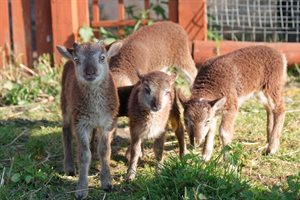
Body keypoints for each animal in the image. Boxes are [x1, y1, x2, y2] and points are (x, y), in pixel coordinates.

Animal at [56, 41, 122, 200]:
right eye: (77, 60)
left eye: (102, 57)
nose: (90, 72)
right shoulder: (80, 123)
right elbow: (84, 155)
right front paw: (81, 189)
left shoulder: (107, 123)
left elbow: (104, 151)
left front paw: (107, 183)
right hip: (66, 104)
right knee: (66, 131)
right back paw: (69, 167)